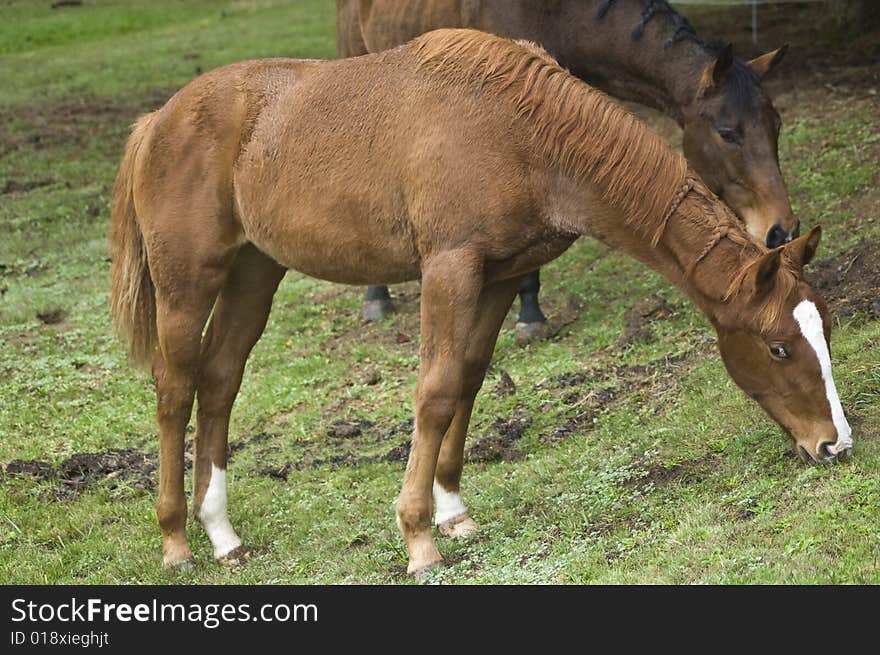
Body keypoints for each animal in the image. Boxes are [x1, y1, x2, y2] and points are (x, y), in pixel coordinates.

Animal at [340, 1, 796, 334]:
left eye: (776, 124)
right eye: (727, 133)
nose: (782, 231)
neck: (556, 15)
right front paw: (529, 316)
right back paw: (376, 295)